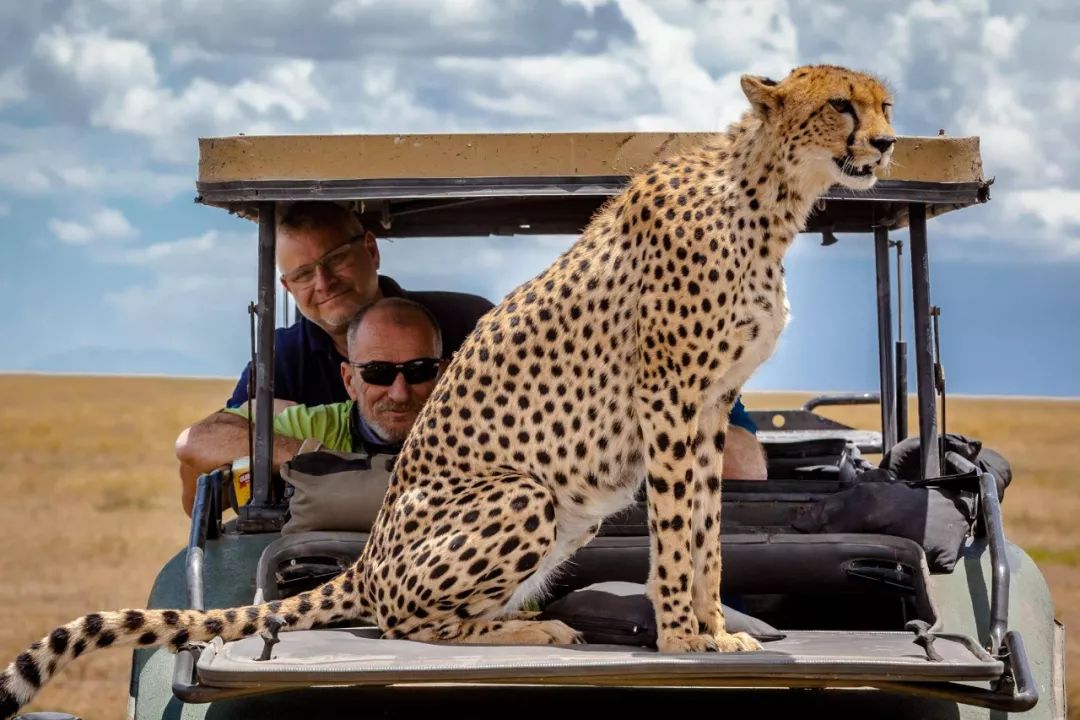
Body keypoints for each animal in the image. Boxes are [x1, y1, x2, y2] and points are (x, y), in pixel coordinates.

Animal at [0, 64, 894, 716]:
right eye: (841, 105)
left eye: (886, 104)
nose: (886, 145)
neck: (768, 194)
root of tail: (364, 559)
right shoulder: (670, 396)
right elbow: (680, 533)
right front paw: (686, 640)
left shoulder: (707, 406)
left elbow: (706, 533)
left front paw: (711, 625)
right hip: (524, 492)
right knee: (406, 622)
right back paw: (534, 633)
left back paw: (527, 620)